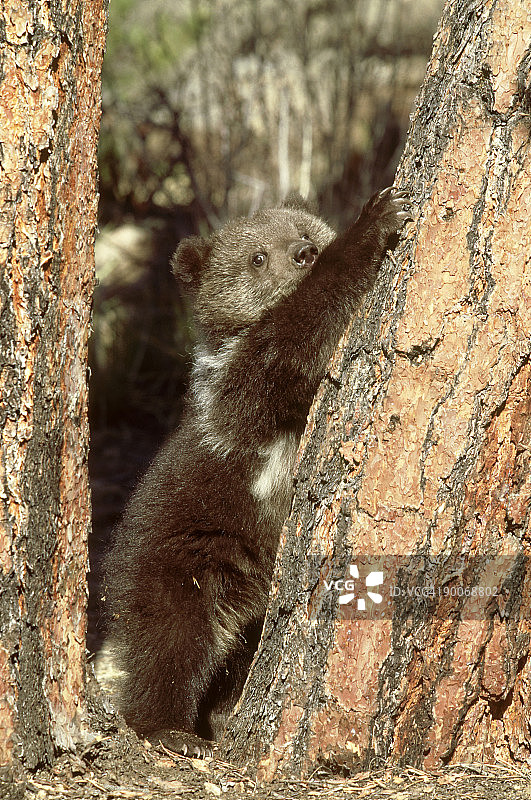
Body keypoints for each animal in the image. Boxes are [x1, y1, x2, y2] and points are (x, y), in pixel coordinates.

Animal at [103, 187, 410, 757]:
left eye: (303, 231)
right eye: (257, 257)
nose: (304, 252)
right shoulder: (246, 393)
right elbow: (291, 338)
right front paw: (376, 219)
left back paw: (220, 715)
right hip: (186, 553)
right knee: (171, 639)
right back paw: (170, 727)